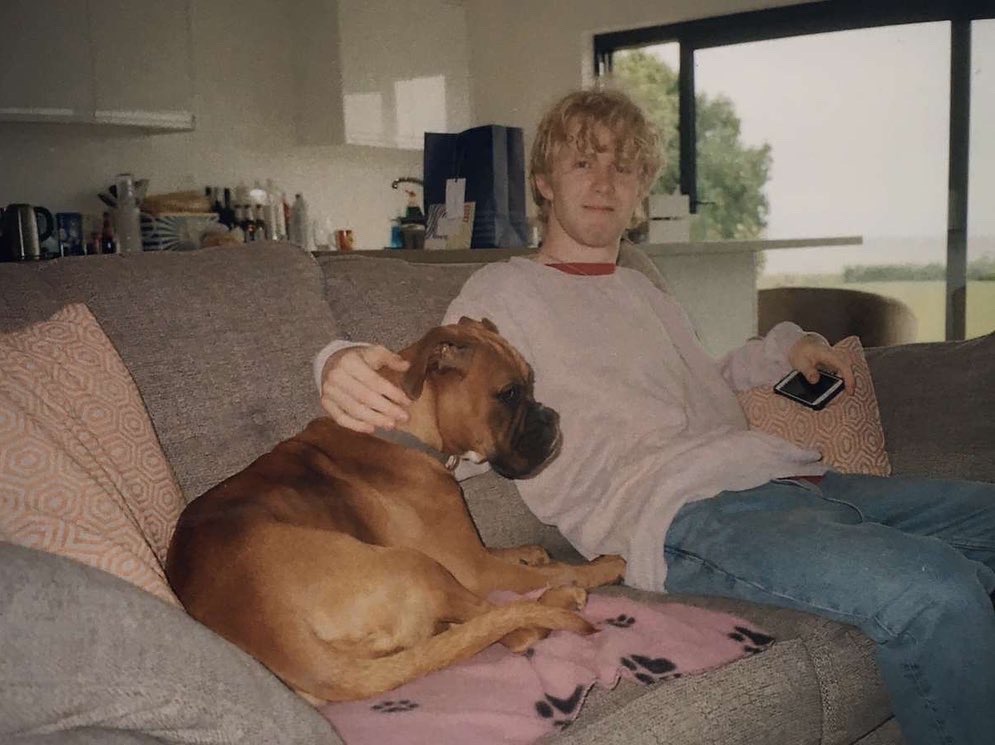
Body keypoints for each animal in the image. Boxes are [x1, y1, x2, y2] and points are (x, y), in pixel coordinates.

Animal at [165, 317, 626, 703]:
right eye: (510, 393)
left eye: (532, 383)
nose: (552, 418)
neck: (401, 432)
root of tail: (280, 638)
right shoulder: (473, 569)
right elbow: (560, 571)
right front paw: (601, 567)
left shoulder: (467, 550)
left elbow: (509, 552)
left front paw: (530, 551)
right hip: (416, 565)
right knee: (517, 626)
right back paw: (562, 599)